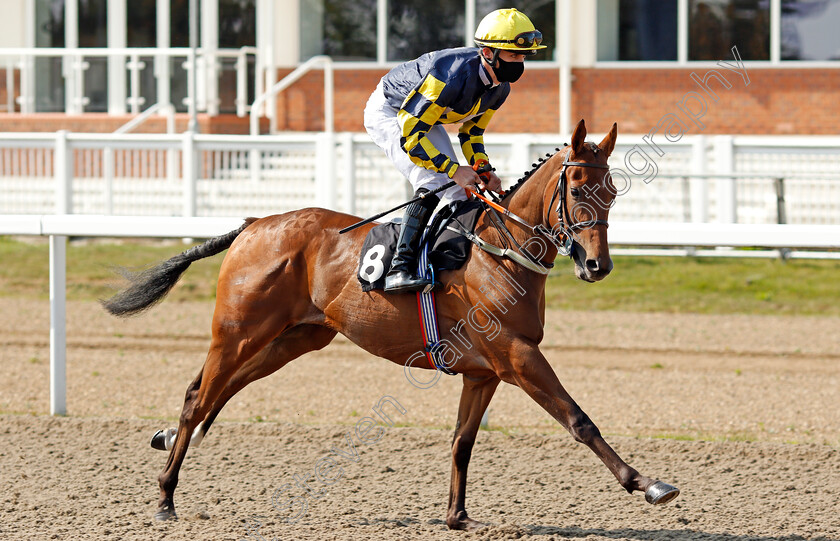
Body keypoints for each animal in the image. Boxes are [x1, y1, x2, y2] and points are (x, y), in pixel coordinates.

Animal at [105, 119, 680, 528]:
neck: (500, 251)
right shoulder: (518, 355)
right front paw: (647, 483)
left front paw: (456, 515)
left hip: (294, 339)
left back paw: (167, 442)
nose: (597, 265)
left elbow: (462, 441)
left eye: (612, 191)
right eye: (578, 189)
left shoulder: (484, 371)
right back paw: (165, 496)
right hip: (238, 332)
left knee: (214, 393)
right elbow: (579, 420)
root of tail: (254, 224)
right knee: (198, 396)